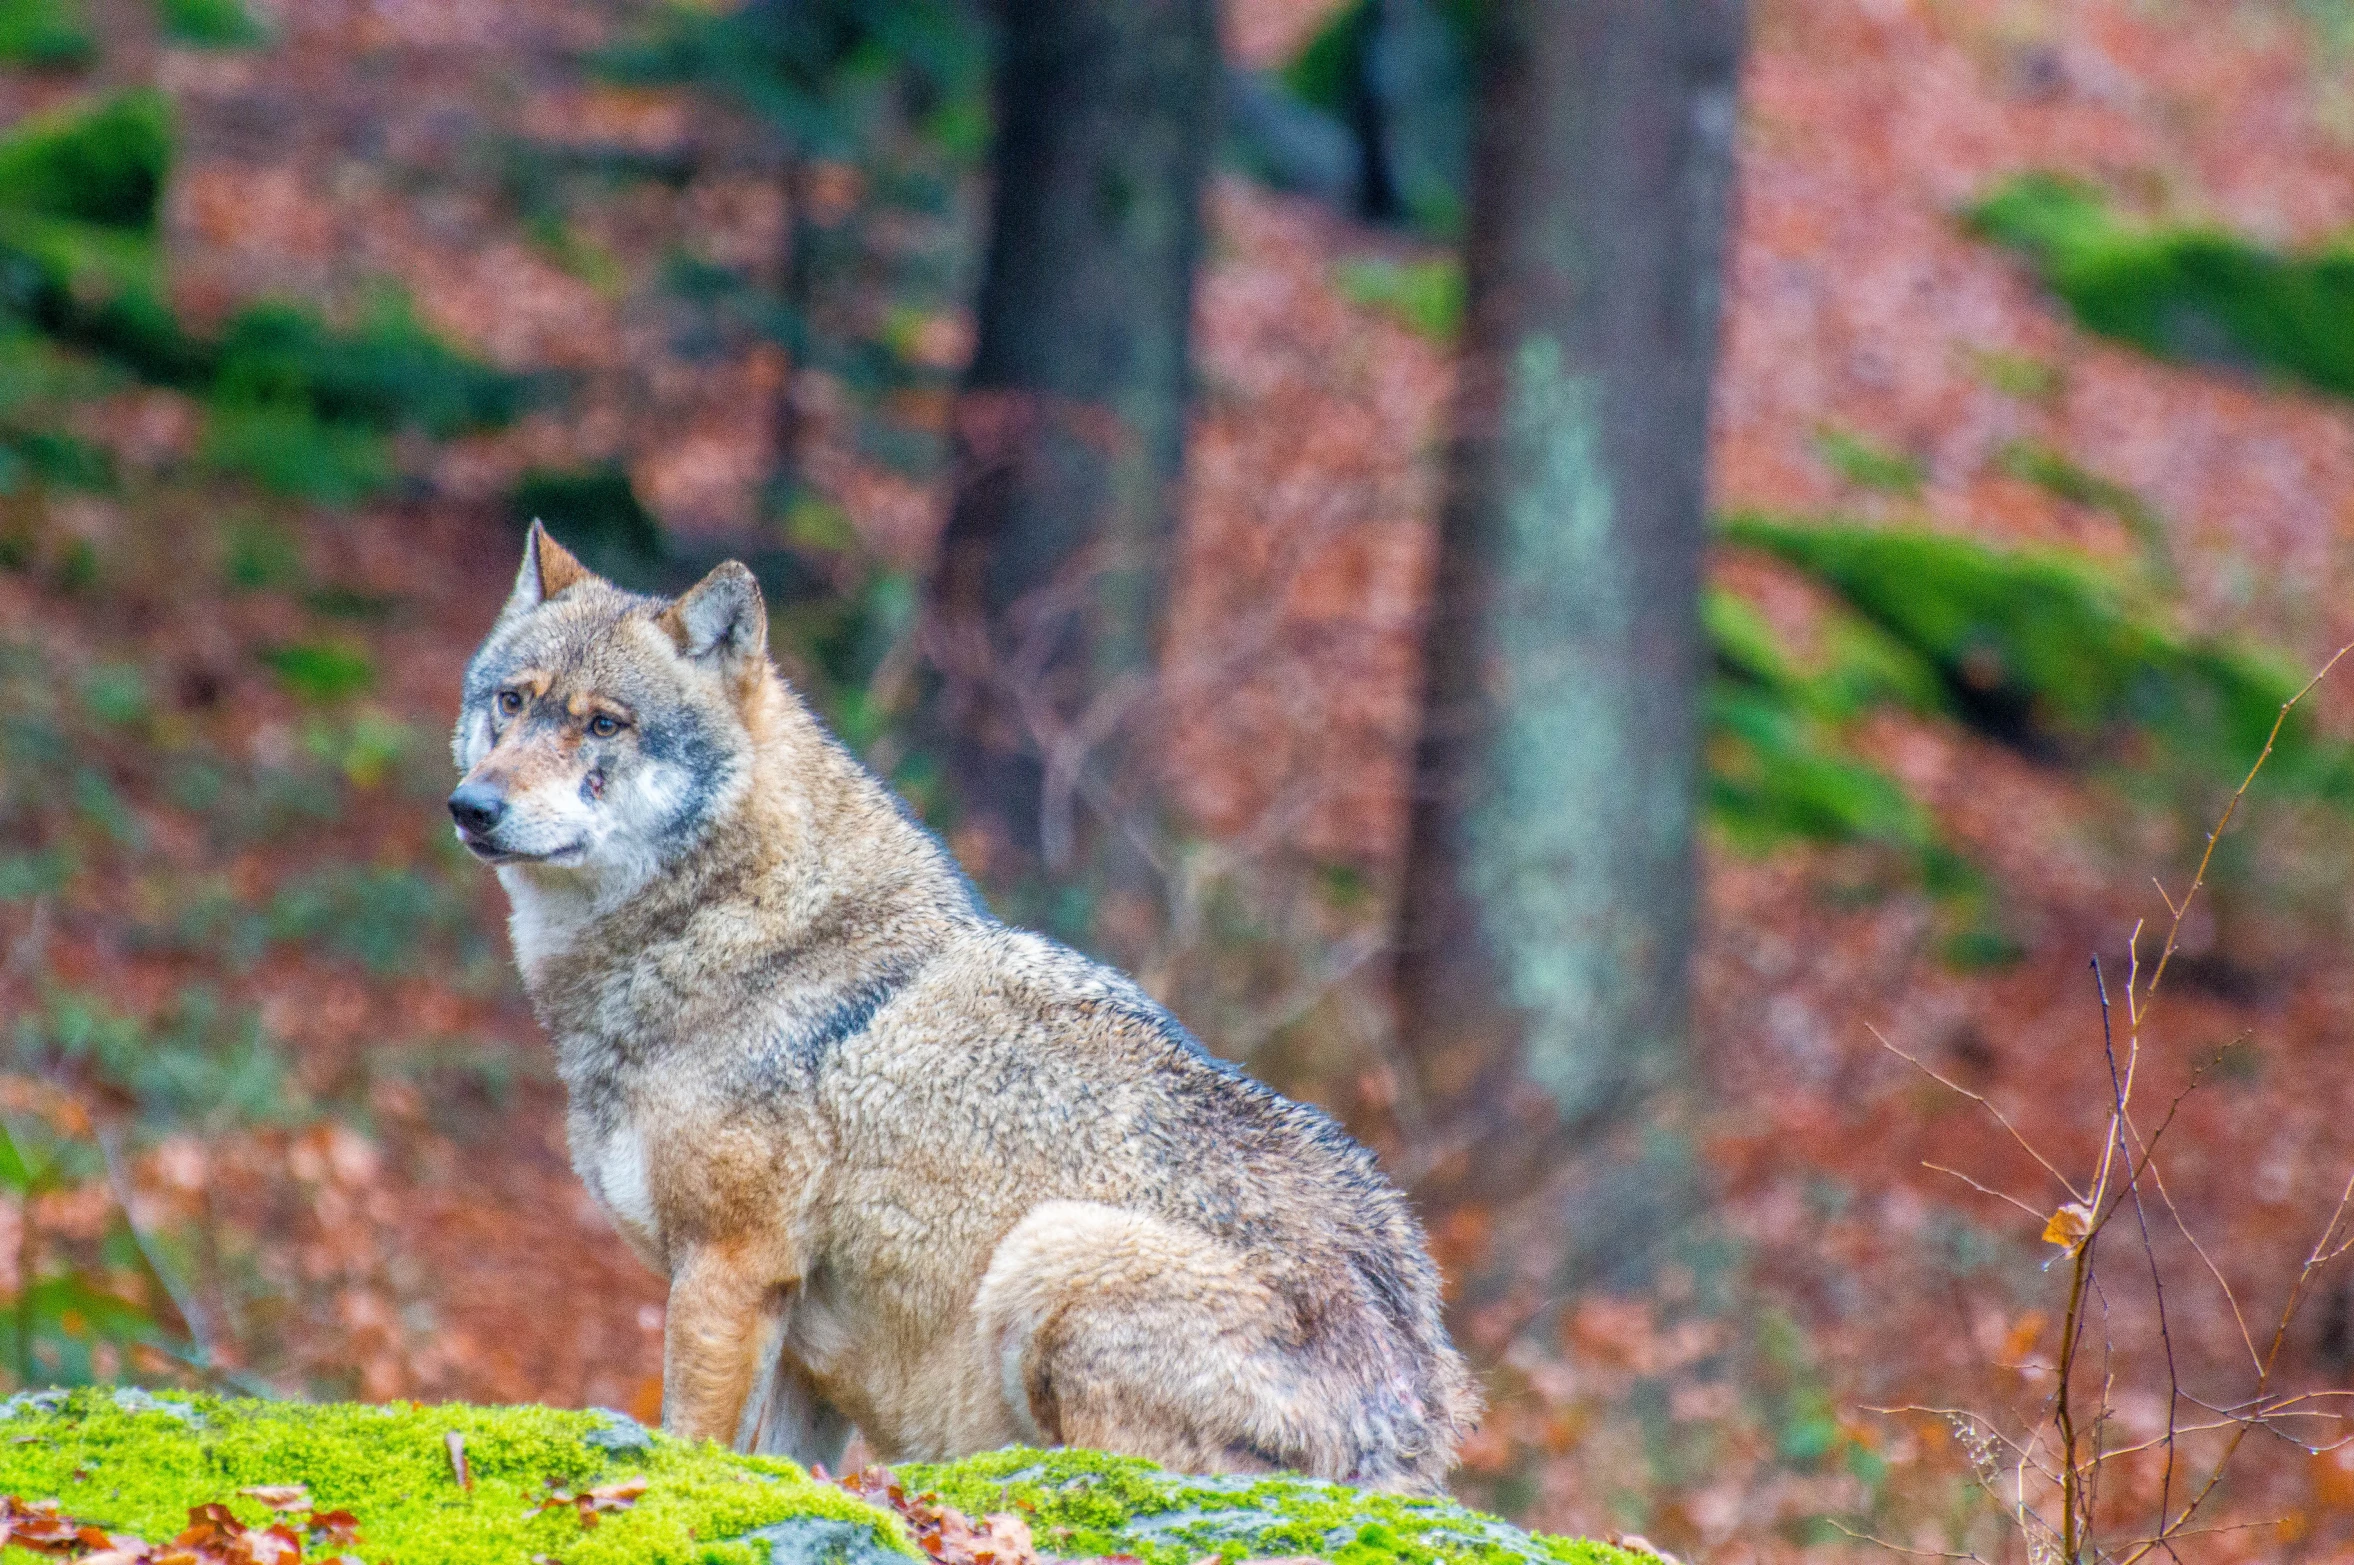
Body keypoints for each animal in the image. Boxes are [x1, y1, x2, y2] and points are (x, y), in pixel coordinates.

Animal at [449, 524, 1478, 1487]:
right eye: (512, 702)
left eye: (604, 725)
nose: (472, 806)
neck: (724, 930)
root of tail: (1416, 1433)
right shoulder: (805, 1348)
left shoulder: (731, 1270)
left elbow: (694, 1446)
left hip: (1049, 1250)